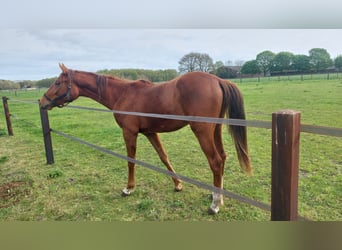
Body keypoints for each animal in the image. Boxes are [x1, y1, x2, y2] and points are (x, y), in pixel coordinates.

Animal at [40, 63, 251, 214]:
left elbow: (131, 160)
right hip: (215, 129)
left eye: (57, 83)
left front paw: (128, 188)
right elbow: (163, 157)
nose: (42, 102)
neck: (122, 94)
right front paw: (177, 185)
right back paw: (218, 196)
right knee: (222, 157)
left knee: (215, 161)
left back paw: (215, 205)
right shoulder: (150, 132)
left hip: (202, 131)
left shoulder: (129, 132)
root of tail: (217, 80)